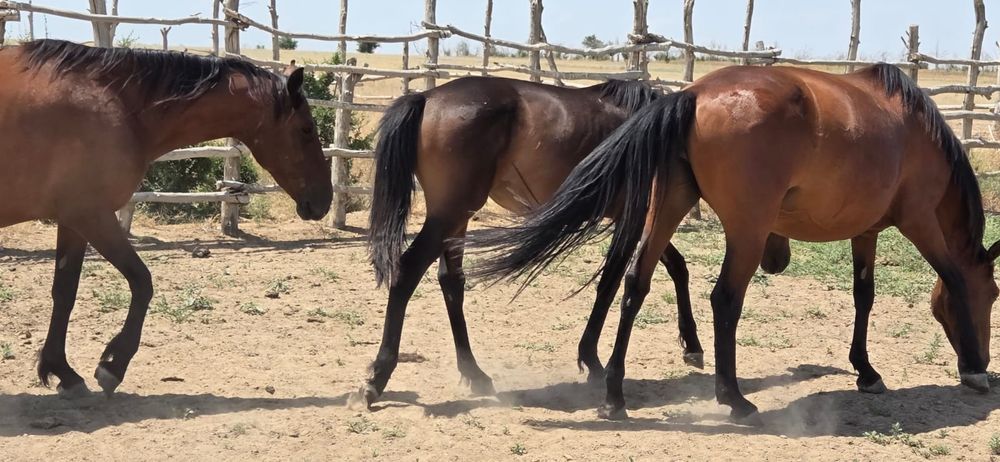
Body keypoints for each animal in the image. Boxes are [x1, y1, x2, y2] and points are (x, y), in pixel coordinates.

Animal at [0, 40, 332, 397]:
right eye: (306, 129)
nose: (324, 200)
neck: (117, 103)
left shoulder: (73, 220)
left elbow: (64, 292)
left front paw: (61, 370)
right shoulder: (93, 215)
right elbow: (142, 282)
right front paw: (112, 366)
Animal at [470, 63, 997, 425]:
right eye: (993, 296)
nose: (989, 362)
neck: (915, 131)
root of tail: (692, 95)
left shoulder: (865, 231)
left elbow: (863, 297)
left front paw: (866, 371)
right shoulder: (918, 220)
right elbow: (951, 276)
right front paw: (971, 369)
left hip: (668, 207)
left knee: (635, 283)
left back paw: (615, 396)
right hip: (747, 229)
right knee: (724, 298)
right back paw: (733, 398)